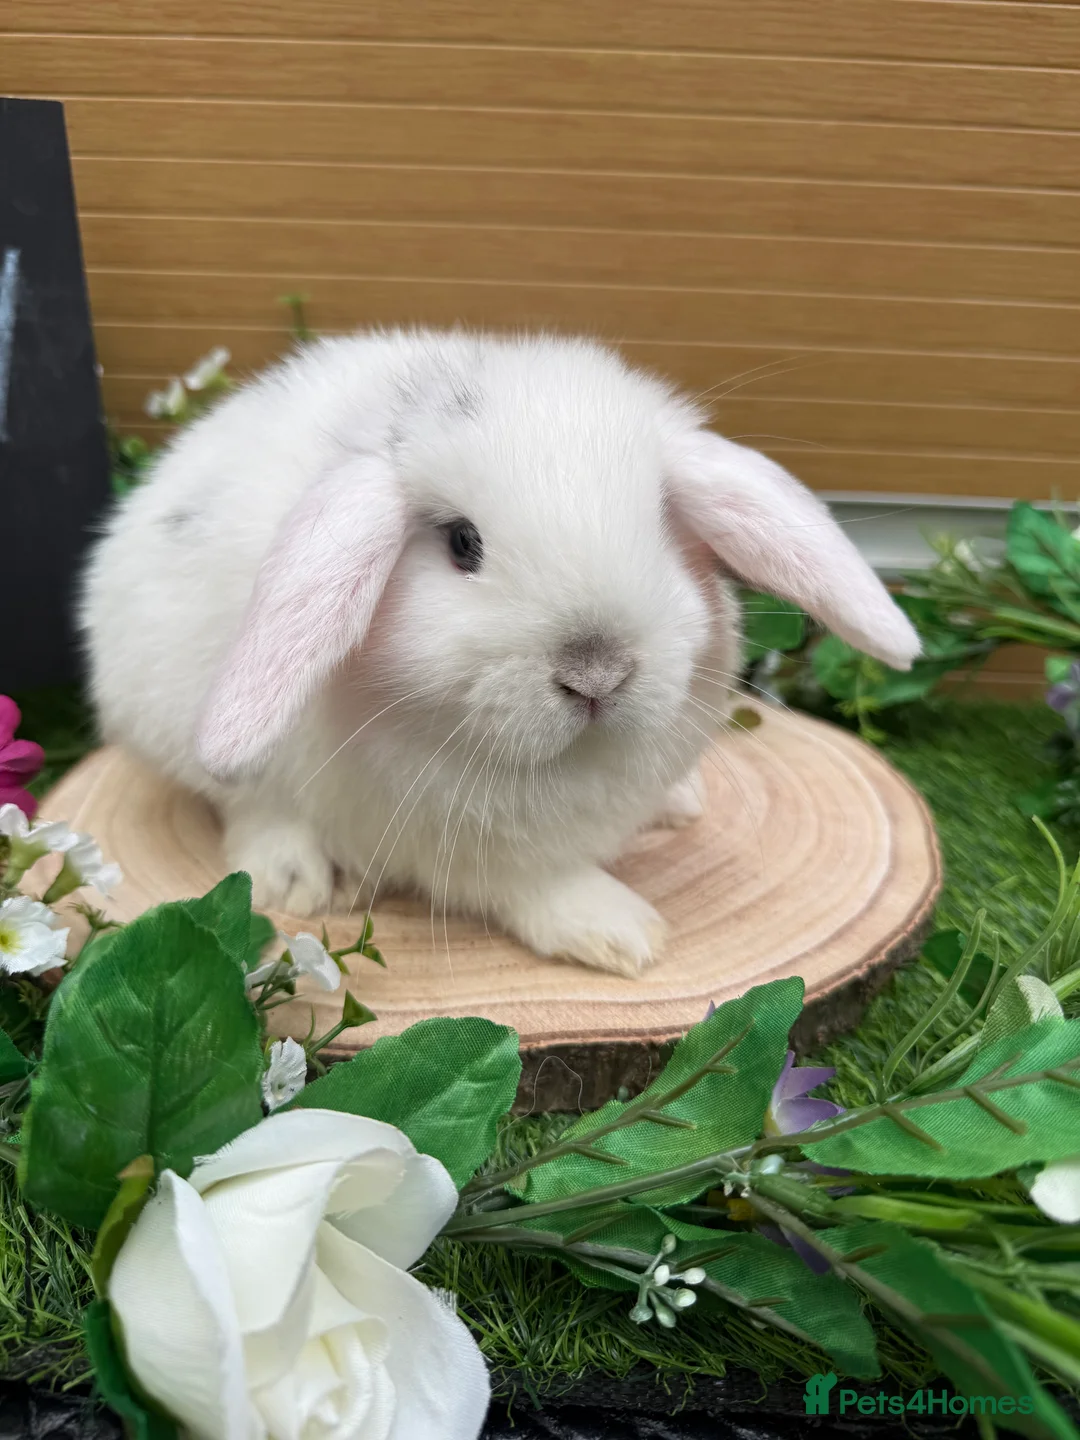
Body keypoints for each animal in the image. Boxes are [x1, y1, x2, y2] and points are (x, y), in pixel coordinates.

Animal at [81, 329, 919, 978]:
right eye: (462, 543)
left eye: (660, 524)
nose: (597, 673)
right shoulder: (456, 846)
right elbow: (532, 885)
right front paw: (623, 934)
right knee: (248, 804)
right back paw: (299, 880)